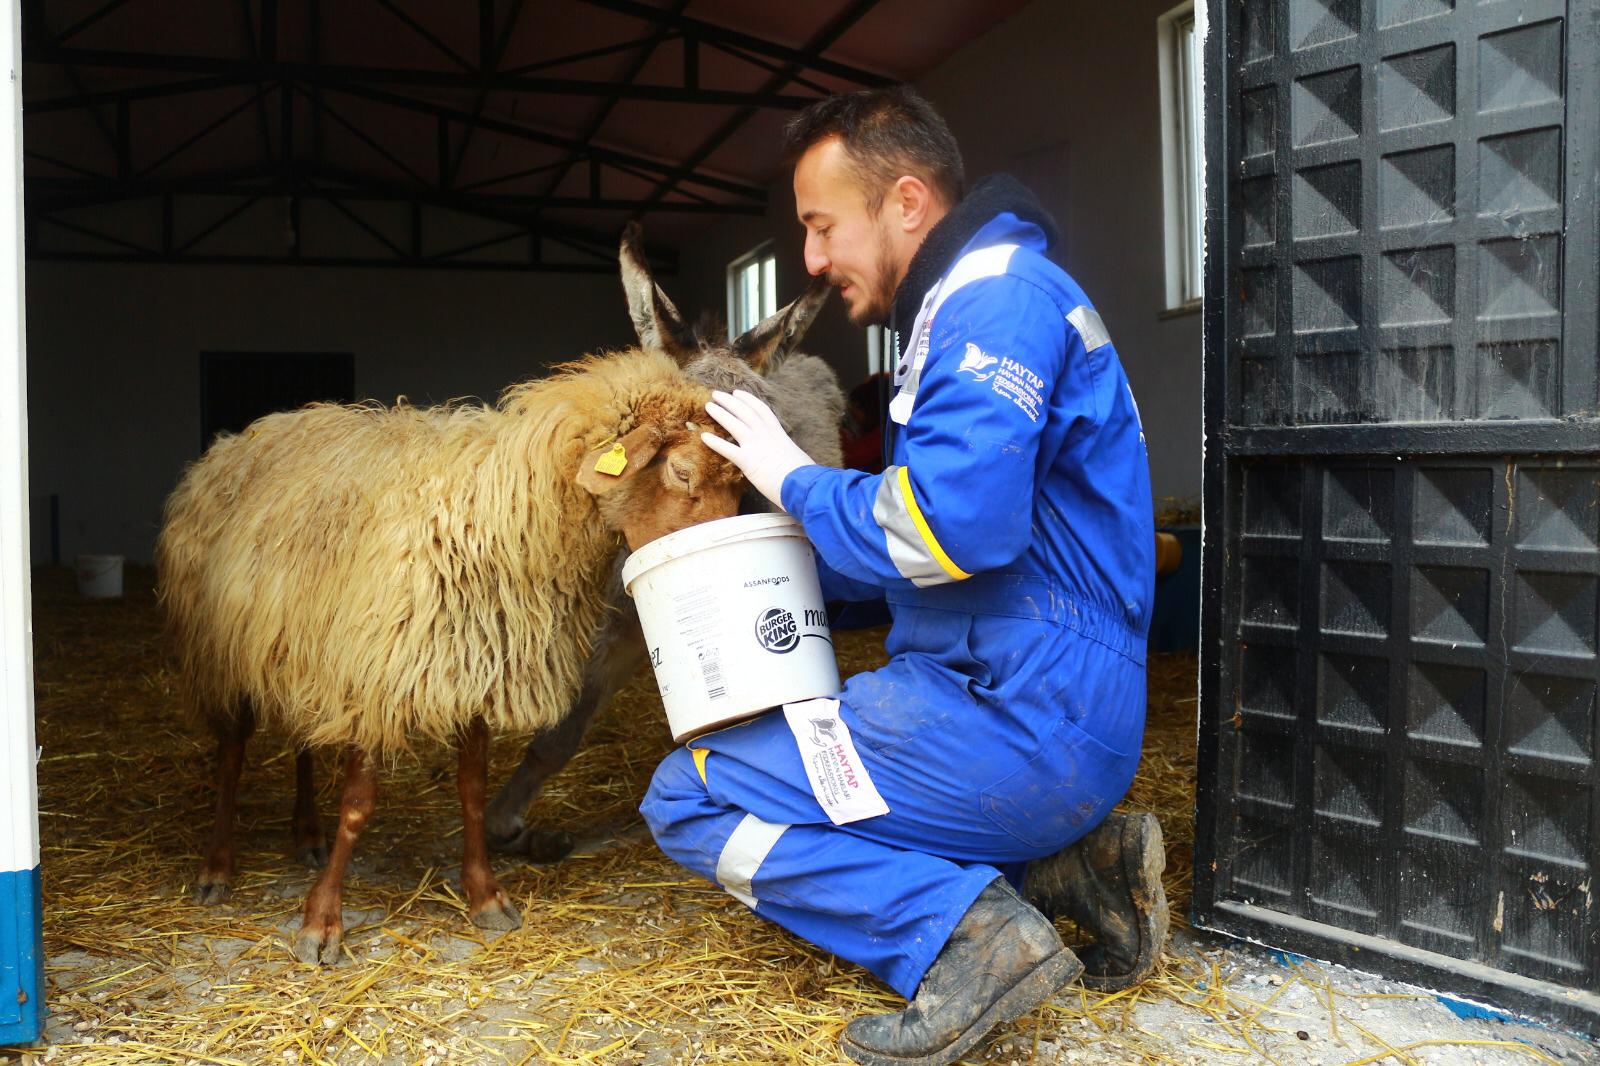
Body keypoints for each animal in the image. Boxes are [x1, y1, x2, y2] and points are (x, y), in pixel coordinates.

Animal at [159, 342, 764, 960]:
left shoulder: (478, 666)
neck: (501, 514)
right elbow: (358, 805)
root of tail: (244, 434)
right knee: (233, 752)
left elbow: (472, 792)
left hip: (297, 646)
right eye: (682, 471)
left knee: (303, 735)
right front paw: (321, 921)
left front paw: (485, 896)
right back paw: (217, 866)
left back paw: (307, 834)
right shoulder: (378, 671)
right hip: (225, 646)